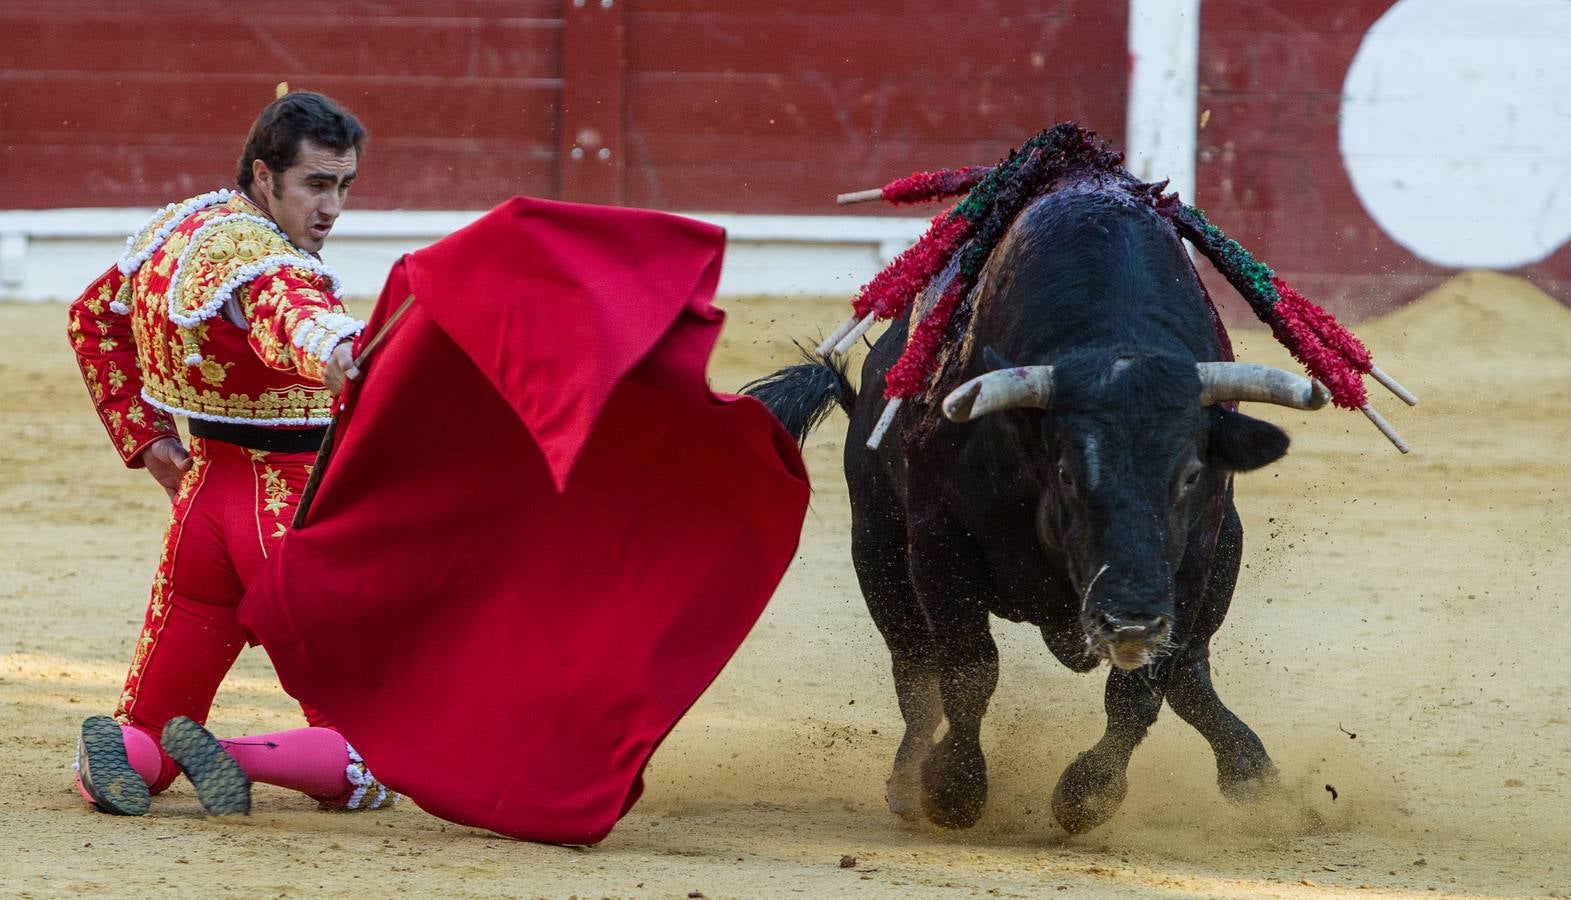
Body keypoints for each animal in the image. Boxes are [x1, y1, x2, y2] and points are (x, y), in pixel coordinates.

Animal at [741, 182, 1332, 835]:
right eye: (1068, 473)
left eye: (1190, 476)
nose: (1129, 620)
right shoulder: (938, 539)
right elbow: (969, 672)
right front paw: (952, 789)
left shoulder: (1194, 556)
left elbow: (1142, 688)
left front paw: (1087, 794)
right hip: (876, 546)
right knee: (915, 674)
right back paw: (905, 783)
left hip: (1224, 552)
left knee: (1189, 669)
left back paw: (1254, 776)